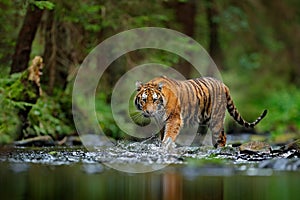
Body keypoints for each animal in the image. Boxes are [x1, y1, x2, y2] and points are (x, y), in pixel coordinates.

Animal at [134, 76, 268, 148]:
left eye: (155, 100)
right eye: (144, 100)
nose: (149, 112)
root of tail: (223, 85)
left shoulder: (174, 119)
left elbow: (169, 135)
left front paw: (166, 146)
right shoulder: (161, 122)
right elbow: (163, 134)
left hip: (216, 121)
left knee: (222, 137)